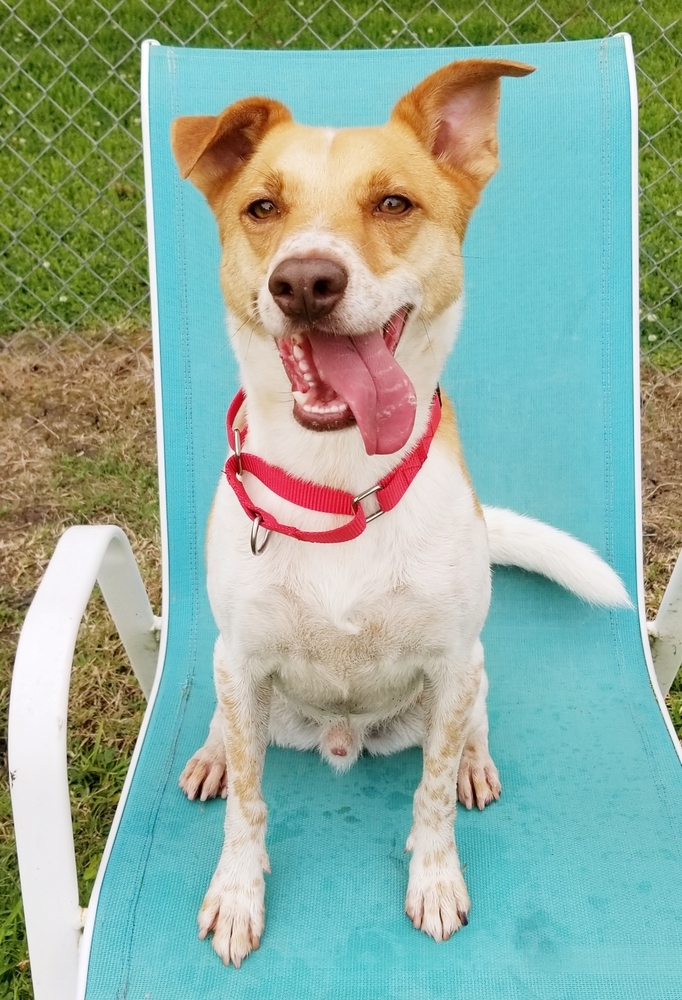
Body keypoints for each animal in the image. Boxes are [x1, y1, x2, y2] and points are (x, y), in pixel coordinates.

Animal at [169, 60, 628, 968]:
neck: (341, 484)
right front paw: (237, 892)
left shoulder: (450, 666)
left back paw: (477, 766)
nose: (305, 281)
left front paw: (436, 877)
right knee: (228, 731)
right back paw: (207, 755)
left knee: (472, 729)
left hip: (475, 666)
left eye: (393, 203)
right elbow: (250, 803)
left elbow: (432, 797)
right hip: (233, 669)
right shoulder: (243, 659)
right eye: (261, 208)